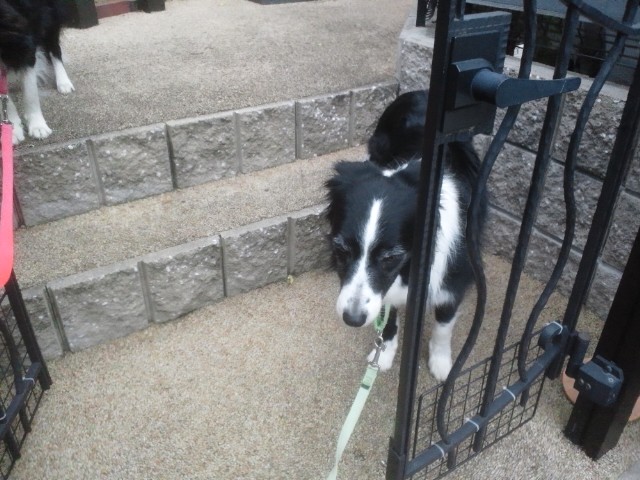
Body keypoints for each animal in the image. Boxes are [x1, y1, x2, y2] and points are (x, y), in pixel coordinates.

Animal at [0, 0, 74, 144]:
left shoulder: (24, 42)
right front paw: (12, 129)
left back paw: (63, 82)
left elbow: (30, 92)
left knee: (54, 48)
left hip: (51, 14)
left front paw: (38, 126)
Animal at [325, 90, 487, 381]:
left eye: (390, 258)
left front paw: (441, 365)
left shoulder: (458, 270)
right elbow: (388, 316)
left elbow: (444, 322)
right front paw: (384, 355)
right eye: (342, 251)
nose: (352, 319)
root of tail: (420, 92)